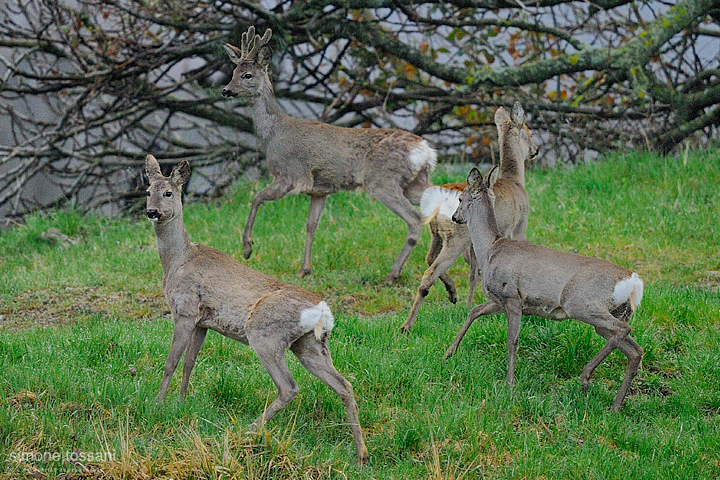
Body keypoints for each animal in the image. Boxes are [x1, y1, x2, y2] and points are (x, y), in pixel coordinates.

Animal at [147, 156, 372, 464]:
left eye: (168, 192)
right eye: (147, 191)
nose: (152, 212)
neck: (178, 259)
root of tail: (322, 312)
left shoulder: (185, 310)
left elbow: (171, 362)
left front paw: (158, 404)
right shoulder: (203, 322)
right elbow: (189, 363)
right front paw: (181, 403)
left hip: (265, 335)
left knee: (289, 387)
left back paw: (247, 430)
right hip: (310, 345)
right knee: (344, 385)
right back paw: (361, 454)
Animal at [219, 26, 436, 284]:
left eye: (248, 75)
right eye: (233, 72)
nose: (226, 90)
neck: (274, 133)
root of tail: (425, 151)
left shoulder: (292, 175)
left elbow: (256, 198)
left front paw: (247, 248)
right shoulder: (320, 190)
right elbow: (311, 225)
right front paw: (304, 269)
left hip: (383, 181)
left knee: (415, 219)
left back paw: (393, 274)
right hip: (412, 183)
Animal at [402, 102, 536, 332]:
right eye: (530, 132)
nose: (536, 150)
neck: (516, 181)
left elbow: (474, 272)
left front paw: (469, 304)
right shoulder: (518, 225)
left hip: (436, 234)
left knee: (429, 258)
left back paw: (452, 294)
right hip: (457, 237)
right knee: (429, 273)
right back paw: (407, 326)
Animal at [448, 166, 644, 412]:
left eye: (460, 199)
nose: (454, 217)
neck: (490, 250)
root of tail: (634, 282)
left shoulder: (512, 297)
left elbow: (512, 340)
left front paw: (509, 383)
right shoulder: (500, 300)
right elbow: (475, 311)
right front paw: (450, 351)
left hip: (581, 303)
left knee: (623, 331)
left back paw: (586, 378)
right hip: (615, 313)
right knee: (635, 350)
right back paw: (615, 405)